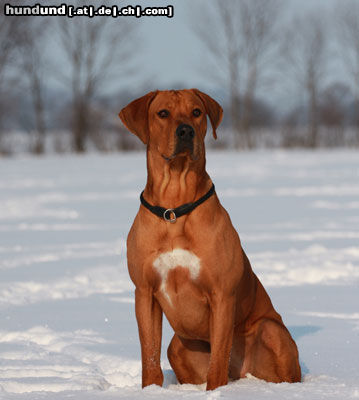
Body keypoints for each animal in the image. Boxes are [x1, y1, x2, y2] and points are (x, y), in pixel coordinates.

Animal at [119, 88, 300, 390]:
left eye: (196, 112)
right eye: (163, 113)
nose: (185, 131)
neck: (174, 208)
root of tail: (242, 372)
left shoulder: (222, 294)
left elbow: (217, 362)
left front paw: (215, 393)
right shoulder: (144, 292)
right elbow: (150, 356)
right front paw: (151, 390)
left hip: (271, 331)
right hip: (178, 345)